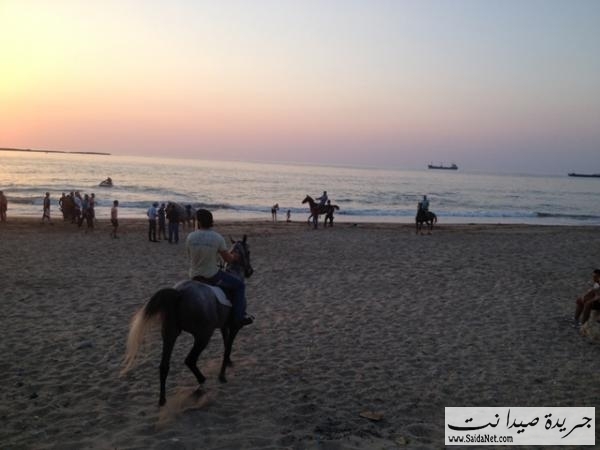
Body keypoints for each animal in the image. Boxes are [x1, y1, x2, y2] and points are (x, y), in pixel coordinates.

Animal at [121, 236, 254, 407]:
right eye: (248, 251)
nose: (250, 271)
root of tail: (179, 293)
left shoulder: (224, 326)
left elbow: (226, 345)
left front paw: (229, 363)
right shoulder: (235, 326)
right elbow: (228, 347)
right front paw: (222, 375)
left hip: (170, 334)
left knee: (164, 366)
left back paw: (162, 400)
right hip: (203, 336)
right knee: (190, 360)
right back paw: (202, 382)